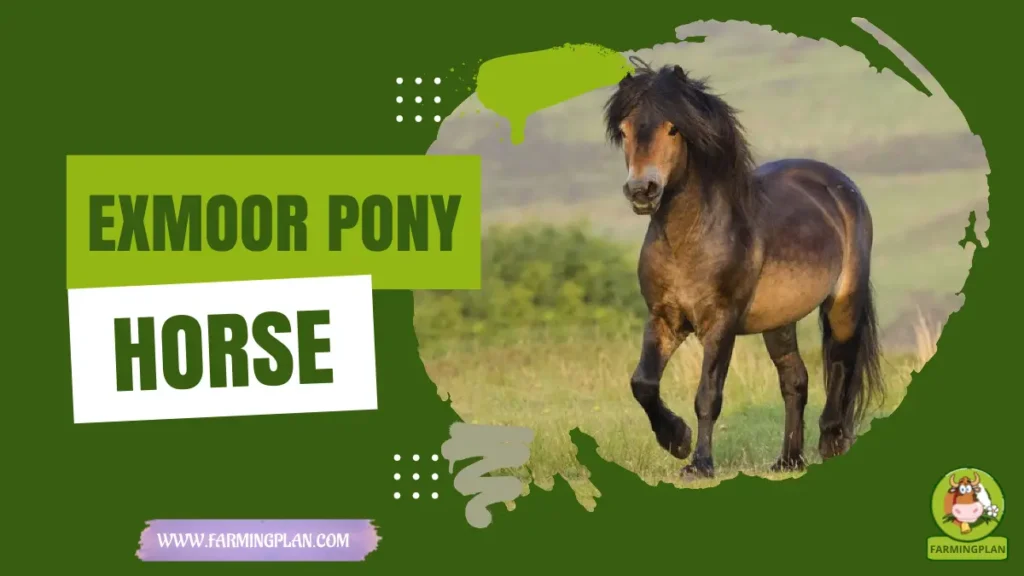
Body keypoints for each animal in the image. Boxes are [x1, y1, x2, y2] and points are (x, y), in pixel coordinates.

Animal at [603, 57, 884, 478]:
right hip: (779, 322)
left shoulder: (721, 323)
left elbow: (708, 395)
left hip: (843, 303)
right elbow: (643, 383)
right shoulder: (664, 319)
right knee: (795, 380)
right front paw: (676, 439)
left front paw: (700, 464)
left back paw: (832, 442)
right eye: (624, 131)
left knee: (841, 366)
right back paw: (788, 460)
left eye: (674, 128)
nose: (642, 190)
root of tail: (839, 186)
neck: (690, 239)